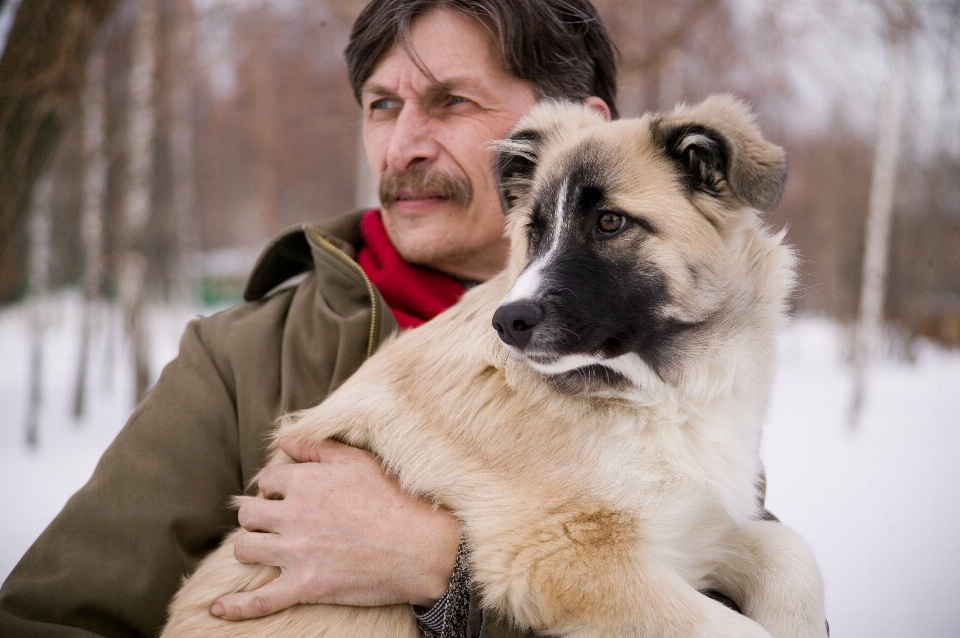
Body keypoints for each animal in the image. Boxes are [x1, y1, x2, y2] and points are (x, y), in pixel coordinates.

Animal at [163, 96, 824, 638]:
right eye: (535, 231)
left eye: (610, 222)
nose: (509, 322)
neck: (657, 393)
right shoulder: (565, 558)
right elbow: (742, 624)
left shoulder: (692, 528)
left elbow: (792, 558)